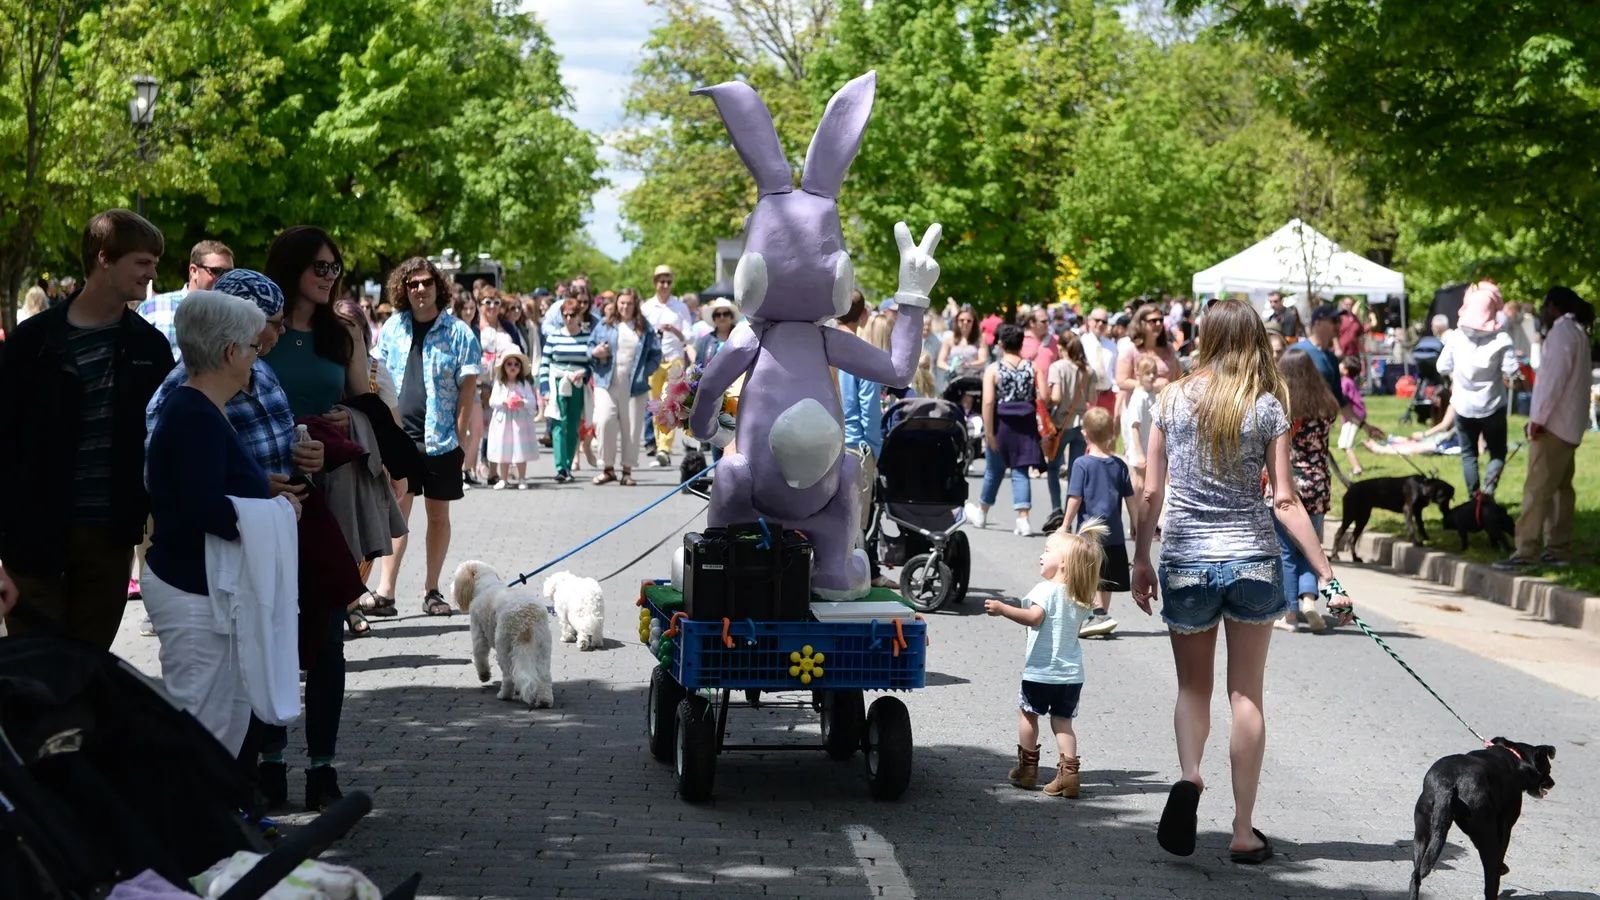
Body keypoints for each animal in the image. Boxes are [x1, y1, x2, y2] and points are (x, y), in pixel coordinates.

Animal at [451, 557, 556, 704]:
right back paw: (544, 700)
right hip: (543, 647)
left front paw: (484, 675)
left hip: (504, 646)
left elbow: (480, 655)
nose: (450, 587)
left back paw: (504, 695)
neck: (487, 585)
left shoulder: (478, 631)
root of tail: (526, 620)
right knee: (545, 677)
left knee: (508, 676)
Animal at [1331, 474, 1459, 557]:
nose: (1447, 511)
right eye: (1442, 496)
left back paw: (1355, 558)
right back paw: (1335, 555)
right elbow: (1412, 528)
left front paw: (1427, 538)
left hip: (1363, 518)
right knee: (1339, 534)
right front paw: (1415, 542)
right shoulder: (1408, 510)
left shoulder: (1418, 512)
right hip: (1350, 514)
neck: (1421, 486)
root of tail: (1351, 485)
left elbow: (1421, 526)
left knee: (1352, 538)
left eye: (1450, 497)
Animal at [1414, 736, 1548, 896]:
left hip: (1422, 833)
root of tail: (1446, 784)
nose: (1552, 782)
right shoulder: (1504, 828)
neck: (1514, 756)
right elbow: (1501, 853)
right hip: (1487, 836)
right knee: (1491, 880)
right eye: (1548, 767)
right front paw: (1502, 868)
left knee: (1415, 876)